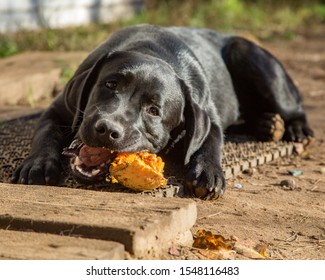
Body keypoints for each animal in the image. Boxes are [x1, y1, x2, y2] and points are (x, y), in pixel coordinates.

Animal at [12, 25, 312, 198]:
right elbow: (46, 135)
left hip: (248, 55)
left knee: (293, 108)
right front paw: (38, 164)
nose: (107, 129)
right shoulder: (57, 110)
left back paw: (292, 127)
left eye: (154, 110)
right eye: (110, 84)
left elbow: (211, 143)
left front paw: (208, 172)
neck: (152, 52)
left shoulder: (208, 118)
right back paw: (268, 125)